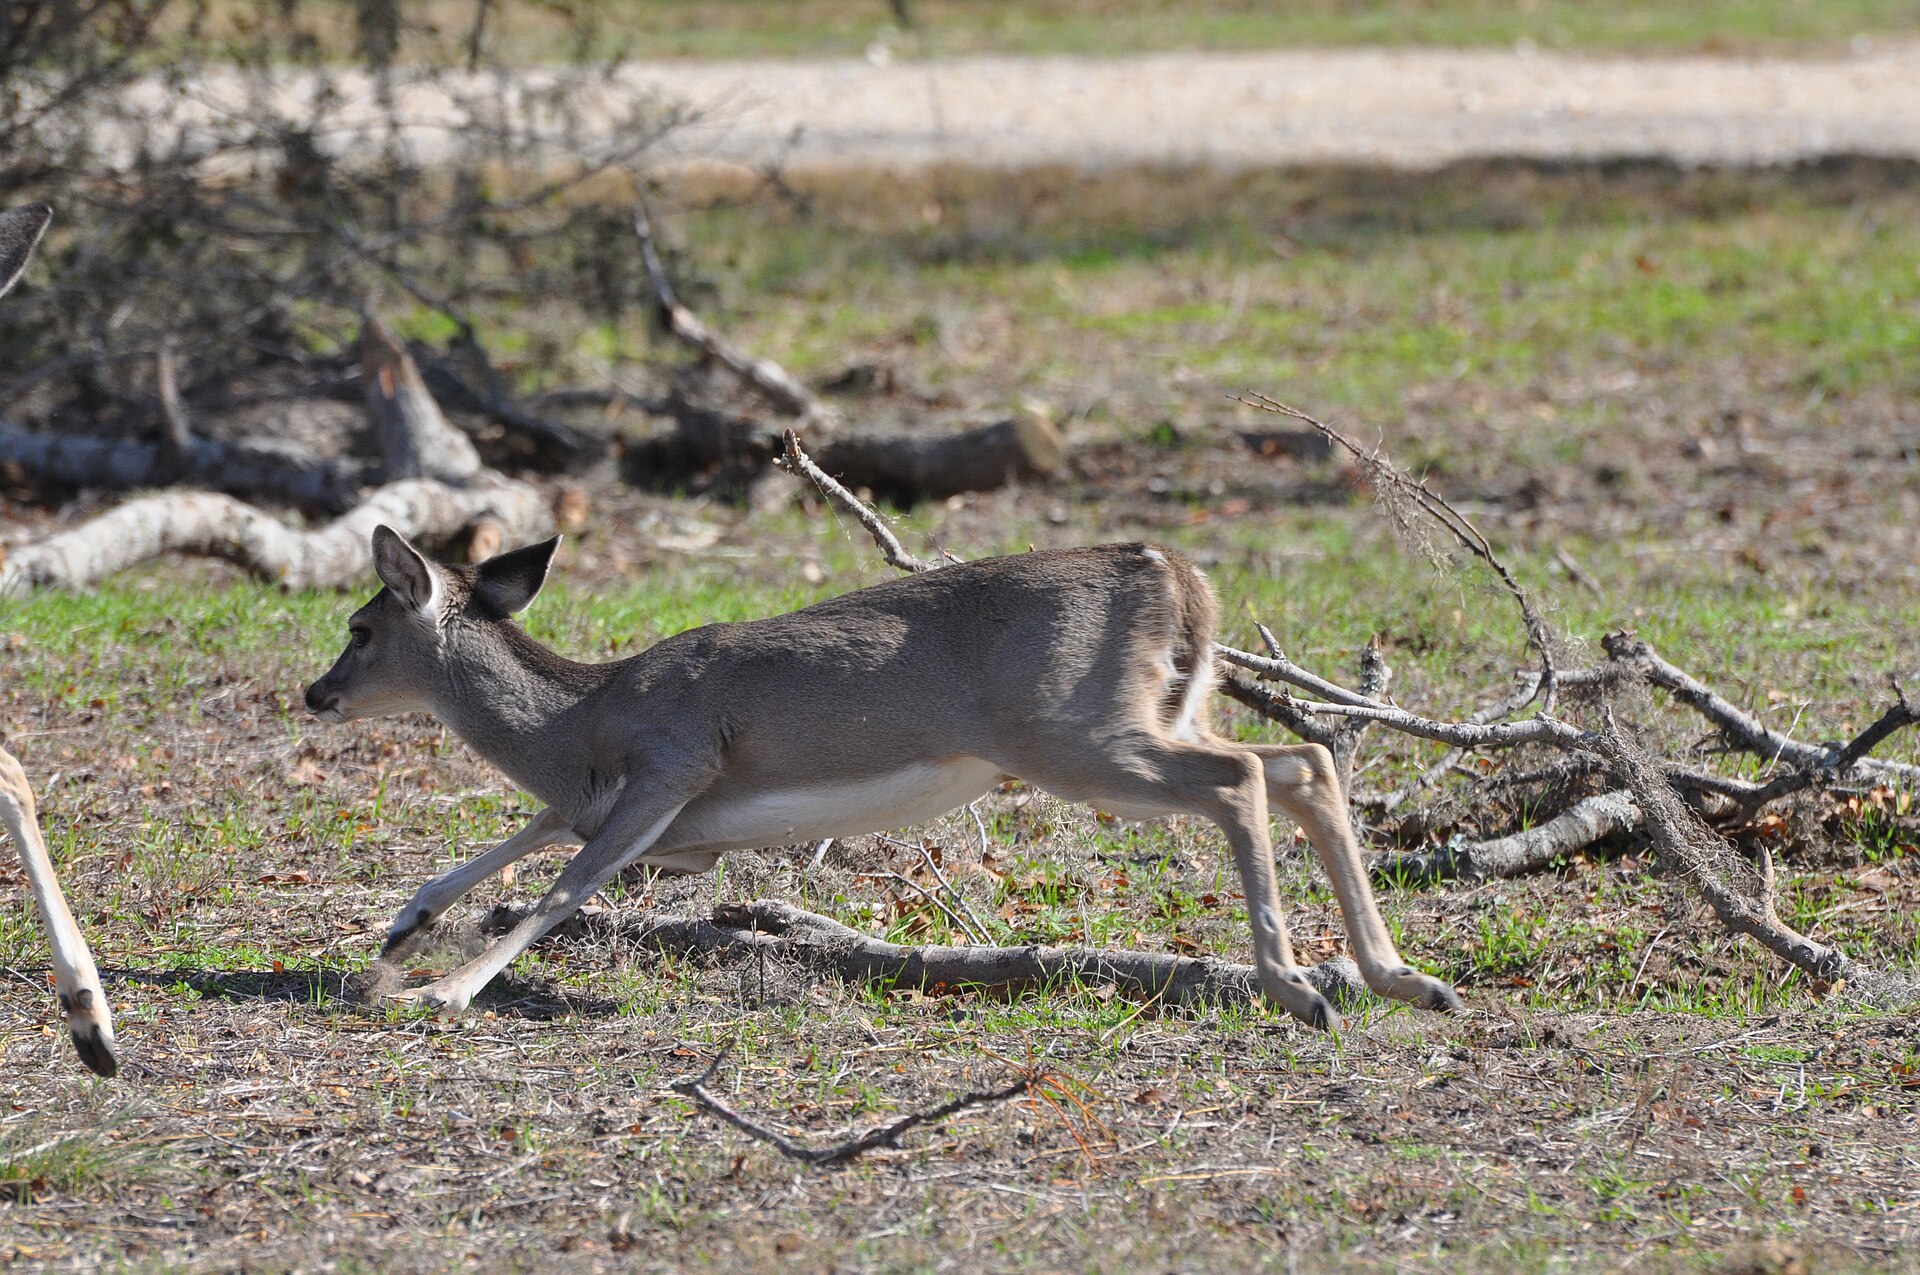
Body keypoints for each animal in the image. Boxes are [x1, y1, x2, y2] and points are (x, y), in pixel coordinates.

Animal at [309, 526, 1462, 1030]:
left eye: (360, 626)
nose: (316, 693)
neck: (580, 716)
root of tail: (1173, 572)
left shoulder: (675, 761)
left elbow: (565, 879)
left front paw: (444, 987)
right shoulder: (664, 817)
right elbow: (533, 834)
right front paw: (402, 929)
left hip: (1069, 733)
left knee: (1242, 779)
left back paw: (1301, 987)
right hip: (1159, 708)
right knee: (1301, 759)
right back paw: (1402, 977)